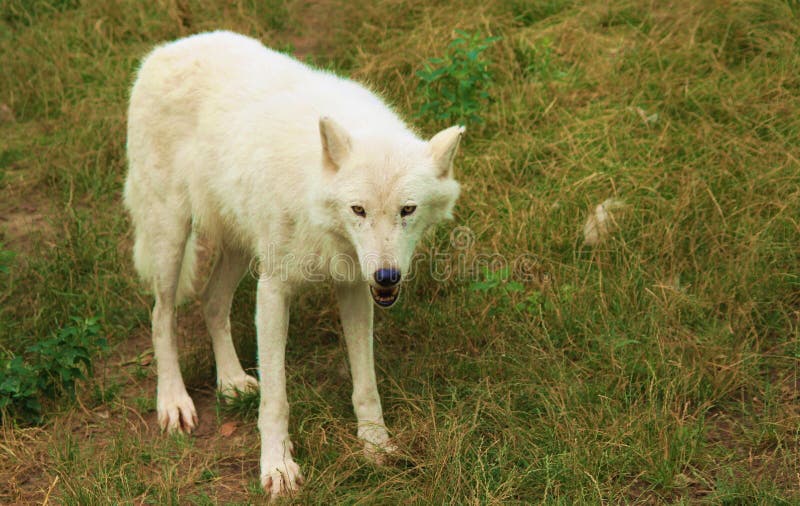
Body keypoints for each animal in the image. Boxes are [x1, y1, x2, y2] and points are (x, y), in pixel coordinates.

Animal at [124, 31, 463, 496]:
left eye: (407, 210)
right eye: (358, 210)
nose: (387, 276)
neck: (313, 193)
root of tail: (164, 50)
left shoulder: (354, 287)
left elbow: (366, 385)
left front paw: (377, 446)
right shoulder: (273, 291)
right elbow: (276, 400)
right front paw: (277, 467)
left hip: (239, 244)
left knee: (212, 301)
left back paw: (231, 381)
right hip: (171, 237)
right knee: (162, 316)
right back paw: (174, 401)